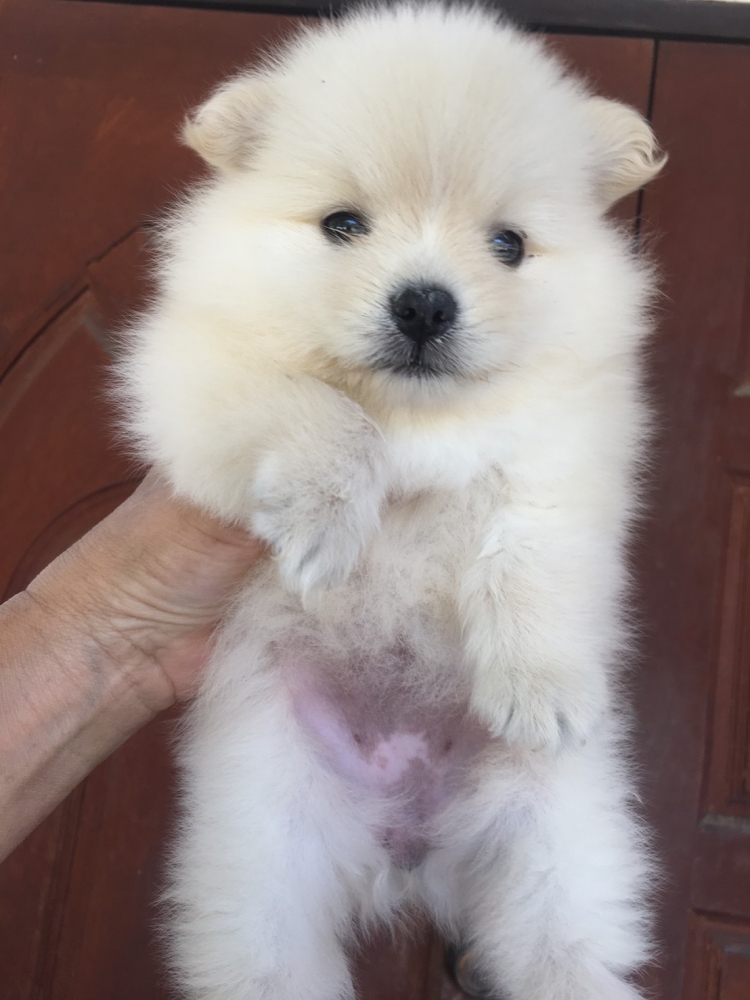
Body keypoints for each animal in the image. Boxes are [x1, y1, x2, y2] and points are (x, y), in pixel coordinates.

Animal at [120, 4, 665, 997]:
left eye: (508, 244)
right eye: (343, 225)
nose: (424, 305)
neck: (418, 417)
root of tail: (405, 849)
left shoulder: (569, 450)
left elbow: (531, 556)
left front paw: (541, 686)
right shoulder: (194, 371)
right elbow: (318, 409)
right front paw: (328, 518)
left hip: (560, 848)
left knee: (568, 952)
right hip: (262, 860)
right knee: (271, 959)